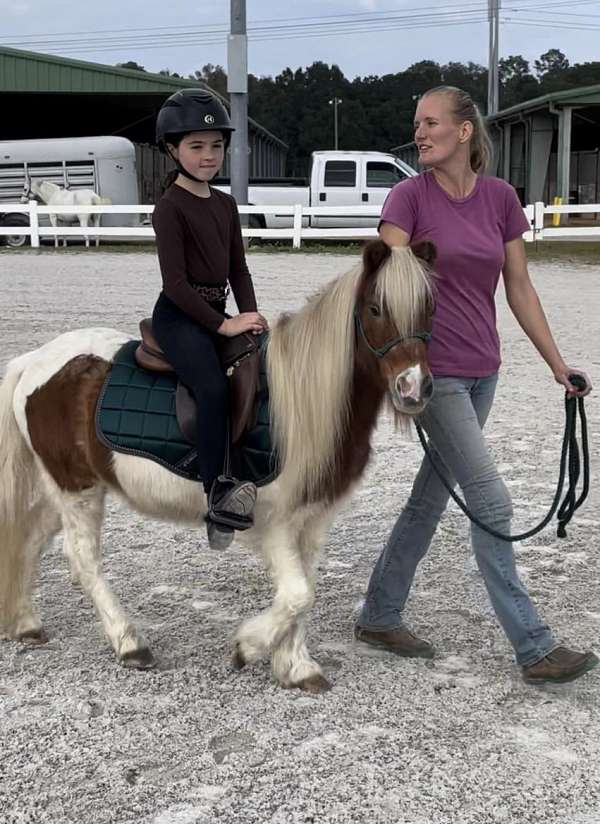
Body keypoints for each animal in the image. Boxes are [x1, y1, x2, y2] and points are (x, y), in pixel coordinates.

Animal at [0, 241, 434, 692]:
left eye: (430, 308)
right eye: (376, 308)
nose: (414, 388)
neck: (304, 400)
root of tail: (35, 360)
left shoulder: (313, 519)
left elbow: (304, 592)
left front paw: (297, 666)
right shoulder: (275, 522)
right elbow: (298, 594)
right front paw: (247, 647)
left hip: (65, 489)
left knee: (31, 542)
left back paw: (26, 622)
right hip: (78, 489)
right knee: (84, 559)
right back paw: (130, 643)